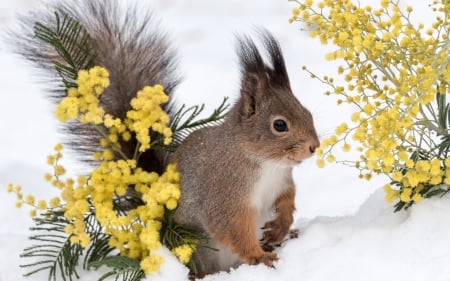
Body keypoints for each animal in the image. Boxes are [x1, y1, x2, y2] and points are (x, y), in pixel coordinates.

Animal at [10, 0, 320, 276]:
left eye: (307, 111)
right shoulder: (224, 194)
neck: (264, 164)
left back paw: (288, 235)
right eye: (279, 125)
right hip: (201, 250)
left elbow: (287, 199)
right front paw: (259, 256)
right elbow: (233, 228)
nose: (313, 147)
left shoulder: (282, 182)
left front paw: (280, 226)